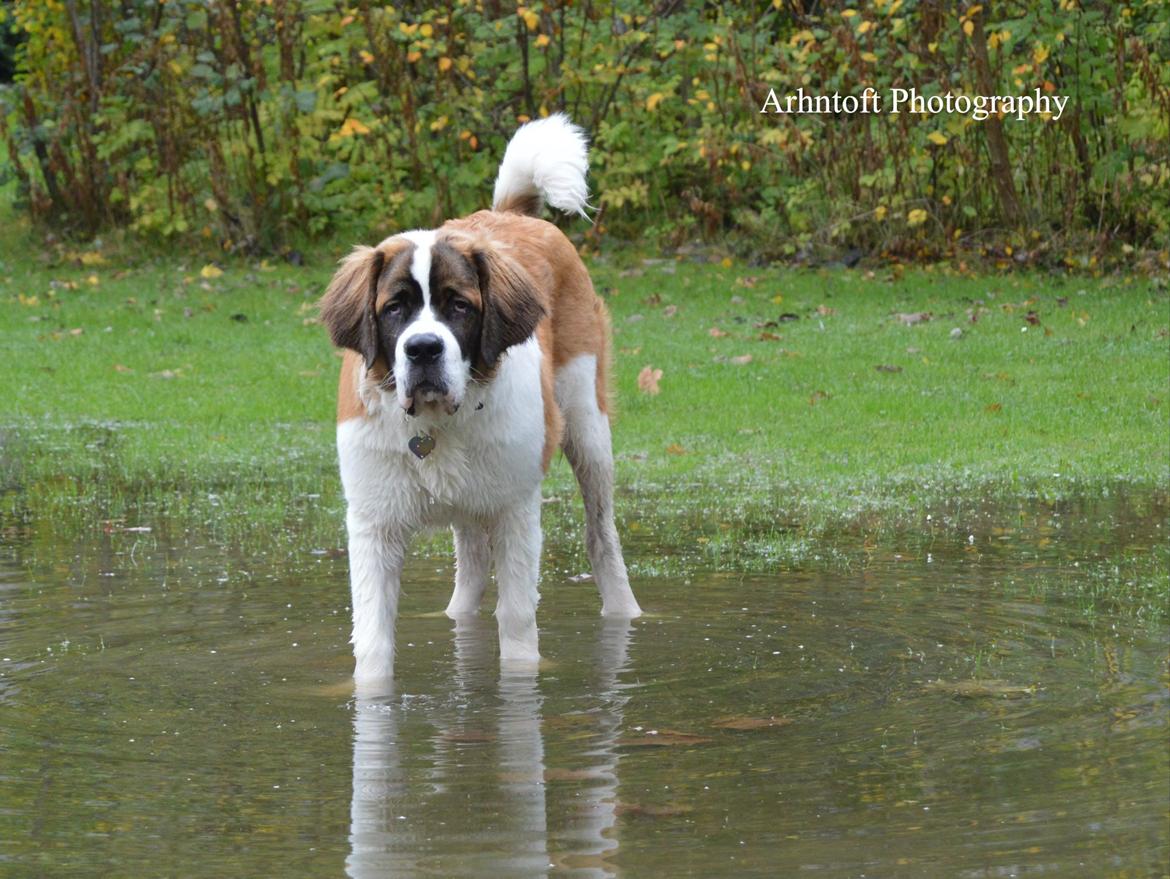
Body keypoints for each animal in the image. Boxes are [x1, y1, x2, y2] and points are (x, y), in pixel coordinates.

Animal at [320, 113, 645, 688]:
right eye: (394, 308)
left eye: (458, 306)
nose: (424, 348)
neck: (434, 428)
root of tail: (508, 214)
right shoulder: (374, 525)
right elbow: (374, 638)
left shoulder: (516, 512)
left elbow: (515, 620)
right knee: (470, 564)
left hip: (587, 426)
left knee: (602, 535)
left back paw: (624, 612)